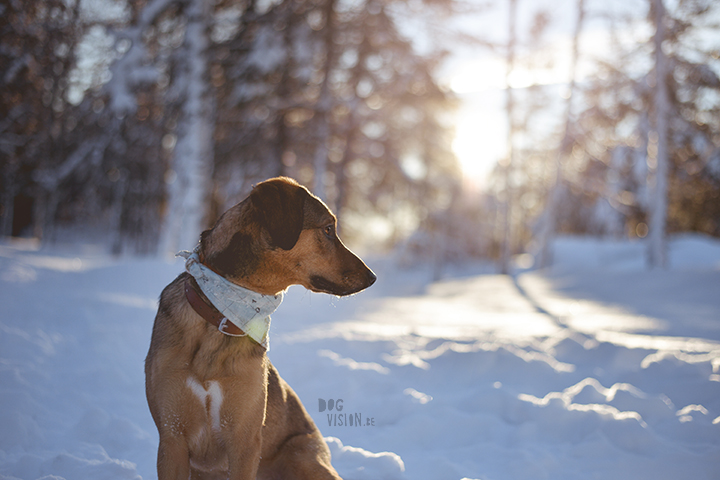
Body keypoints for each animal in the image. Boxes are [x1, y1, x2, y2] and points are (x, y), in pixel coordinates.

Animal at [143, 177, 374, 480]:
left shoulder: (244, 439)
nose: (372, 277)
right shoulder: (172, 438)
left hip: (303, 458)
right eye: (327, 229)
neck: (221, 316)